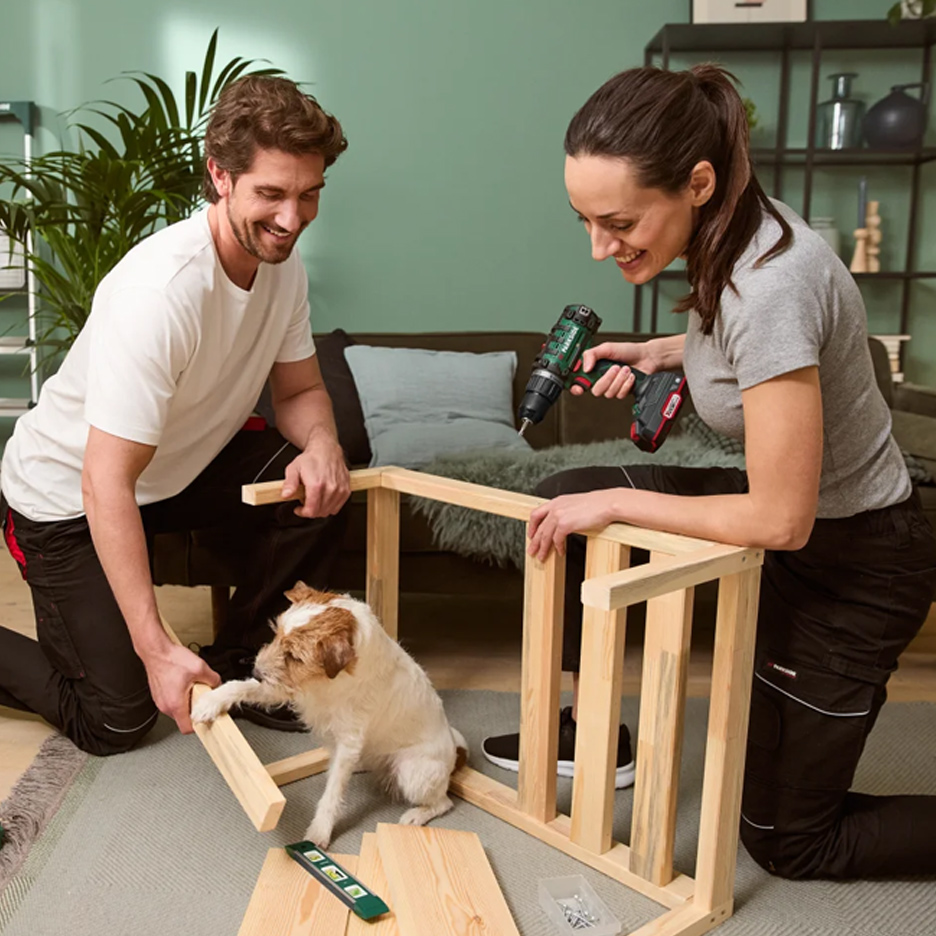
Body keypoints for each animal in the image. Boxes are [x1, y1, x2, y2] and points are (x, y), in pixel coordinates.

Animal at [191, 582, 468, 848]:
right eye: (276, 632)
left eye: (294, 656)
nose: (257, 671)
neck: (328, 679)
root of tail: (455, 751)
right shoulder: (284, 688)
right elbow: (240, 686)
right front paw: (209, 702)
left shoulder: (348, 741)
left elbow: (332, 794)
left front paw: (319, 832)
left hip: (413, 773)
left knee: (444, 802)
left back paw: (415, 815)